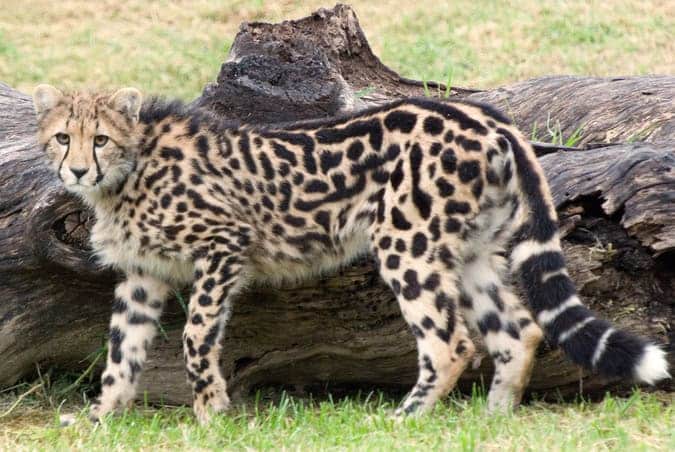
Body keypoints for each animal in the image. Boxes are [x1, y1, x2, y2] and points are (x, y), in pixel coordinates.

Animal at [32, 84, 669, 424]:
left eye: (100, 138)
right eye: (63, 137)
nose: (78, 169)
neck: (131, 167)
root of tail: (483, 115)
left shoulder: (224, 247)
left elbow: (195, 338)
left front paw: (211, 416)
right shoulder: (141, 276)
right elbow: (121, 353)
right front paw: (97, 418)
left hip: (407, 244)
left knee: (451, 342)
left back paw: (406, 420)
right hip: (469, 253)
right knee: (519, 331)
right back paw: (493, 418)